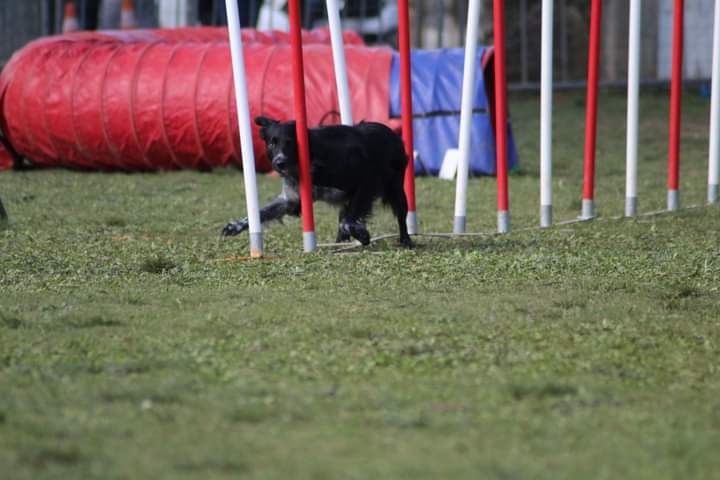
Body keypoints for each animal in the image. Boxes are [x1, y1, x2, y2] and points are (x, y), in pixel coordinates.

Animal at [222, 114, 410, 246]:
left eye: (289, 142)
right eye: (271, 143)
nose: (279, 163)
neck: (313, 159)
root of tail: (391, 132)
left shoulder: (366, 182)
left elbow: (348, 222)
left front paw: (362, 235)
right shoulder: (292, 199)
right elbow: (262, 212)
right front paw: (235, 226)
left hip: (396, 189)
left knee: (401, 215)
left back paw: (406, 241)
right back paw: (340, 244)